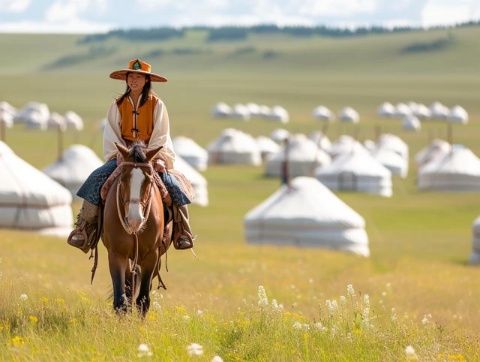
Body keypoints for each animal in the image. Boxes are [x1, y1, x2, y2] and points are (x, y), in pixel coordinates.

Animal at [101, 141, 171, 316]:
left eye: (149, 179)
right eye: (123, 177)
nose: (134, 220)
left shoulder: (152, 256)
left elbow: (143, 300)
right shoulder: (117, 254)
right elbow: (121, 300)